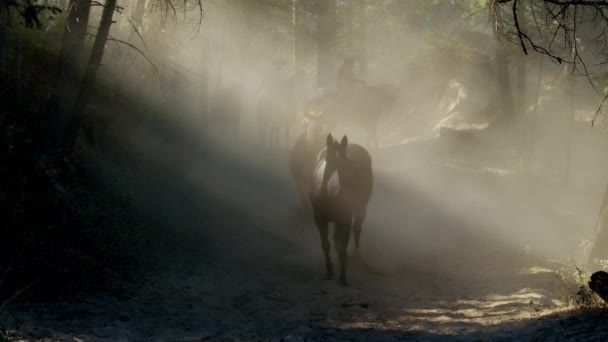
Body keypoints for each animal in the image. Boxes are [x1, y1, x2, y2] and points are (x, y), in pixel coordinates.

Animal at [312, 134, 372, 286]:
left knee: (357, 228)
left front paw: (343, 277)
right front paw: (329, 270)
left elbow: (343, 249)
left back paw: (357, 255)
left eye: (344, 163)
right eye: (327, 160)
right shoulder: (319, 218)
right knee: (336, 238)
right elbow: (325, 244)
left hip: (361, 207)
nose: (334, 188)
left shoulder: (345, 220)